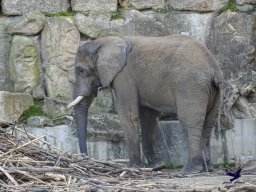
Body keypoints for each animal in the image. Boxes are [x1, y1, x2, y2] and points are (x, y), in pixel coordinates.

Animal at [67, 35, 224, 172]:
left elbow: (129, 114)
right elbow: (148, 117)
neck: (104, 41)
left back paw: (191, 169)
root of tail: (213, 69)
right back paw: (207, 168)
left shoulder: (124, 76)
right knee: (208, 123)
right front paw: (157, 166)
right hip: (212, 91)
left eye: (80, 70)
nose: (86, 156)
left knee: (191, 122)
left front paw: (134, 167)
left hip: (191, 86)